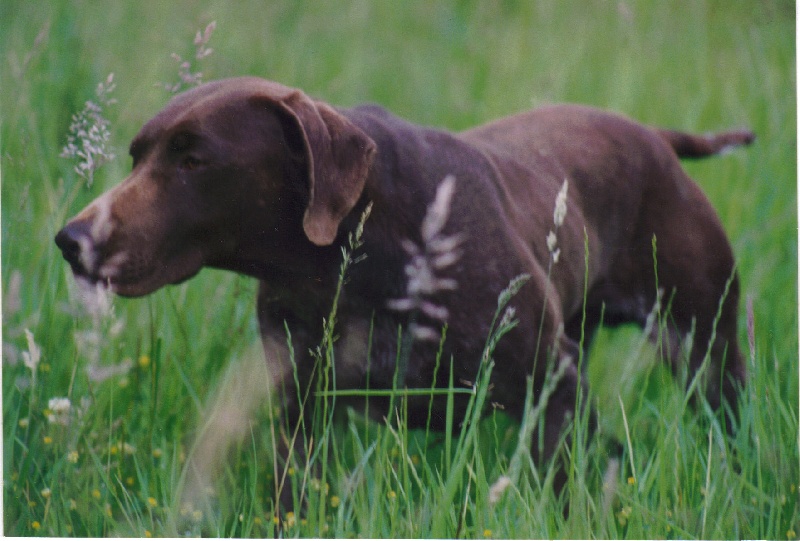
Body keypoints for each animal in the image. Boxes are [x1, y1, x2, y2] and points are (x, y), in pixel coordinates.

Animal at [56, 77, 752, 502]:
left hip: (707, 351)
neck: (357, 258)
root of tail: (658, 139)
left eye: (193, 159)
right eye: (137, 155)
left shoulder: (553, 397)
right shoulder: (300, 413)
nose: (71, 239)